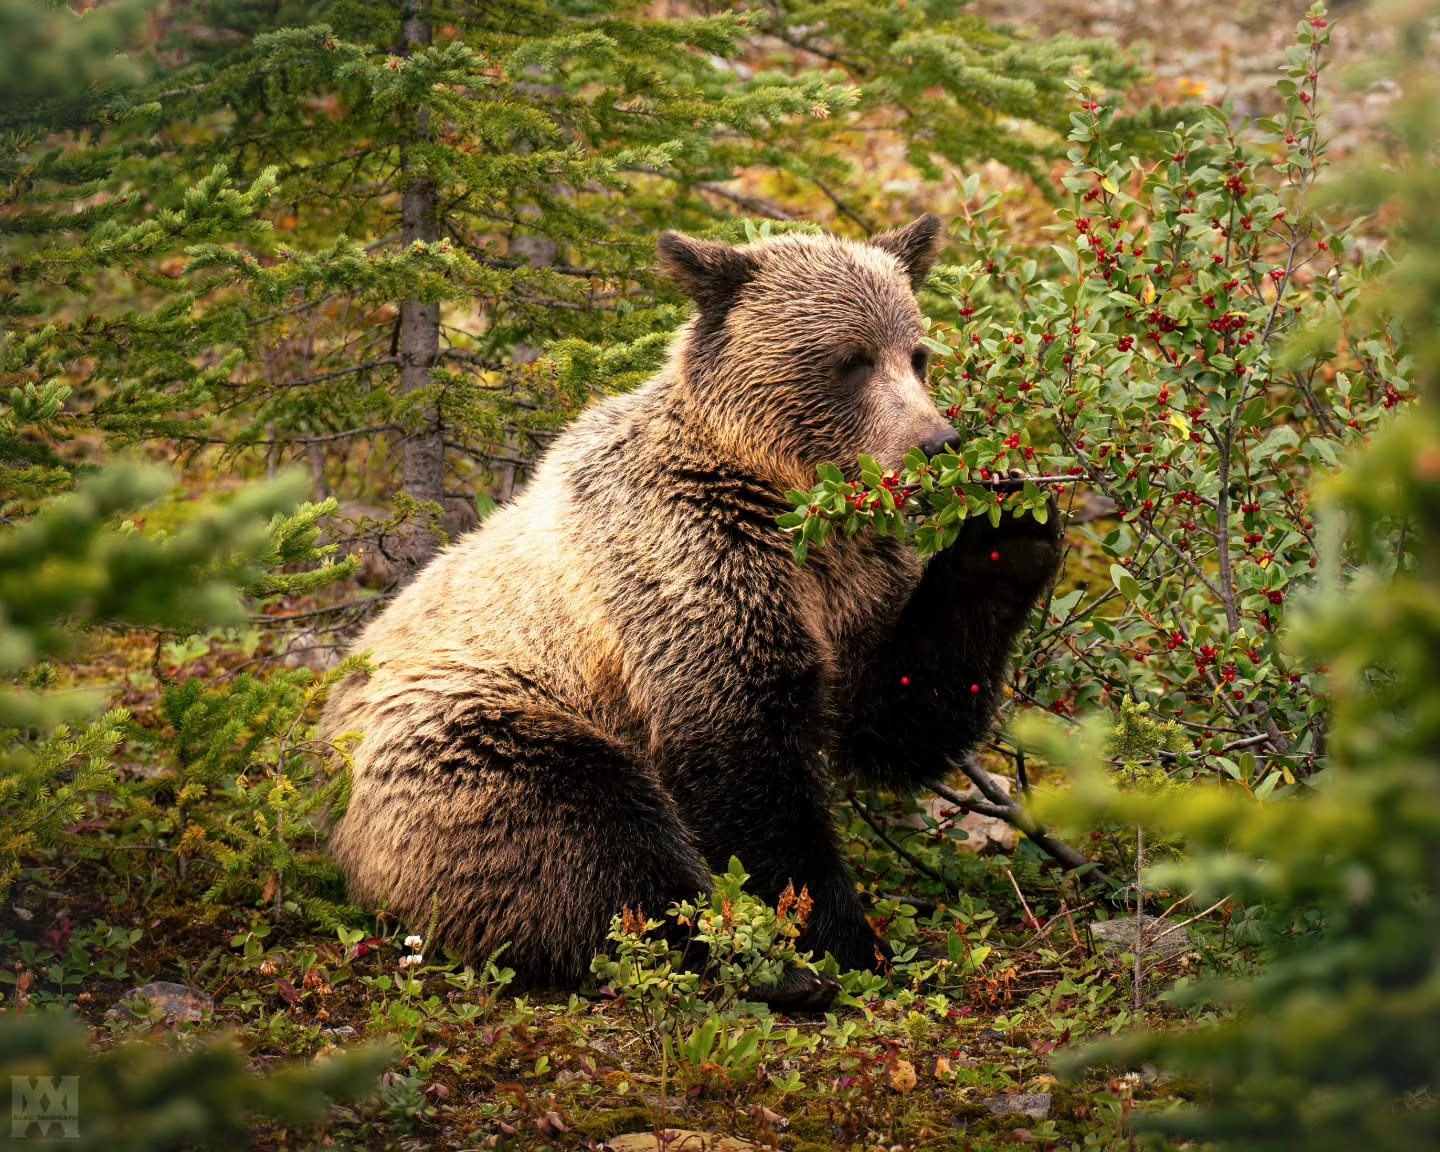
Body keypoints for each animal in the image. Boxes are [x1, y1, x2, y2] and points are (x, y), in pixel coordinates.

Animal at [322, 214, 1062, 1010]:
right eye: (851, 360)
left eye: (918, 356)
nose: (935, 443)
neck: (786, 503)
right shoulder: (688, 556)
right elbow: (740, 750)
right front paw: (843, 938)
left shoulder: (853, 577)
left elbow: (890, 708)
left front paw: (1009, 528)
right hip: (465, 738)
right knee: (585, 835)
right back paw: (757, 968)